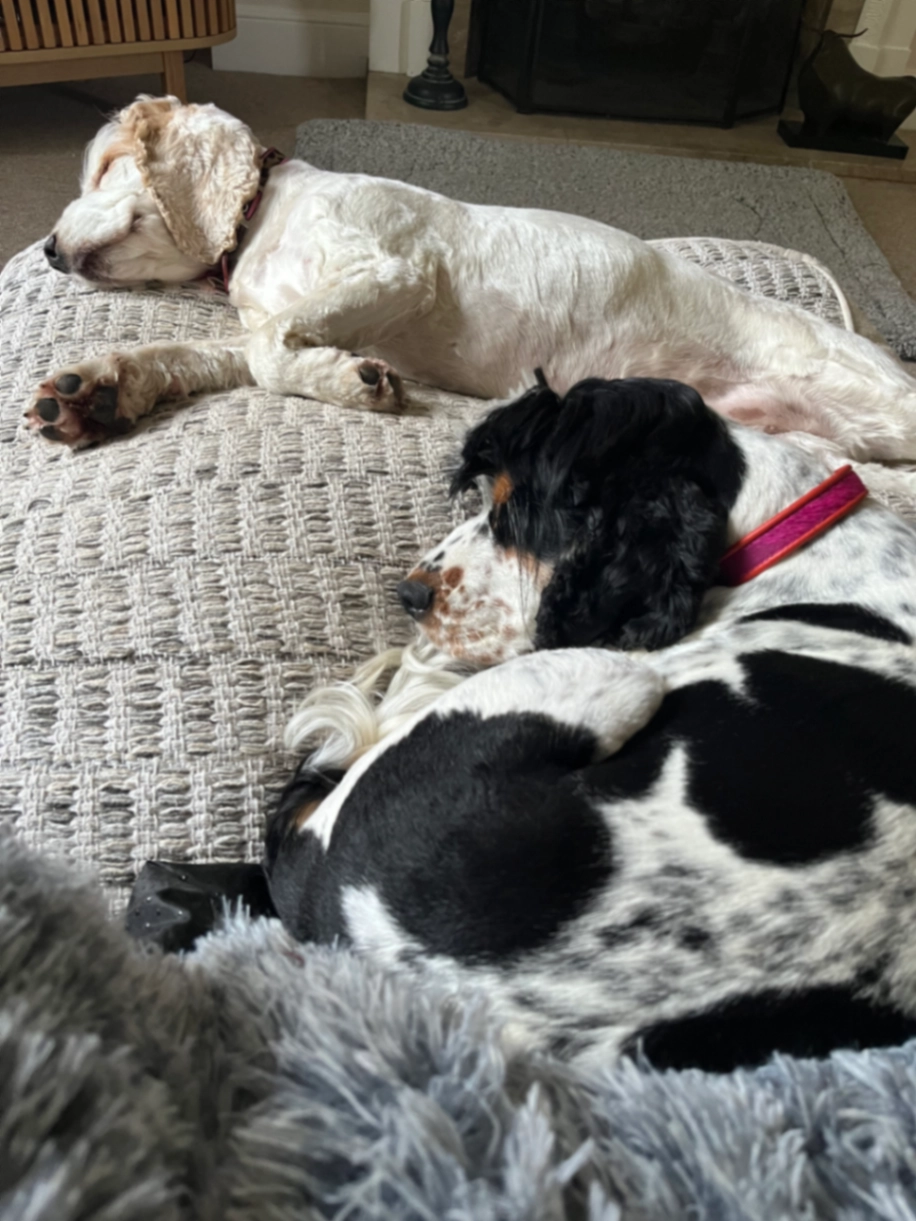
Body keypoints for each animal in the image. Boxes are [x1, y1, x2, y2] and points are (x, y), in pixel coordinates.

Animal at [26, 95, 916, 461]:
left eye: (103, 165)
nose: (46, 250)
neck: (262, 220)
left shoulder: (395, 269)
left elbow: (276, 351)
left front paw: (358, 384)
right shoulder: (276, 315)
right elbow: (231, 353)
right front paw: (97, 391)